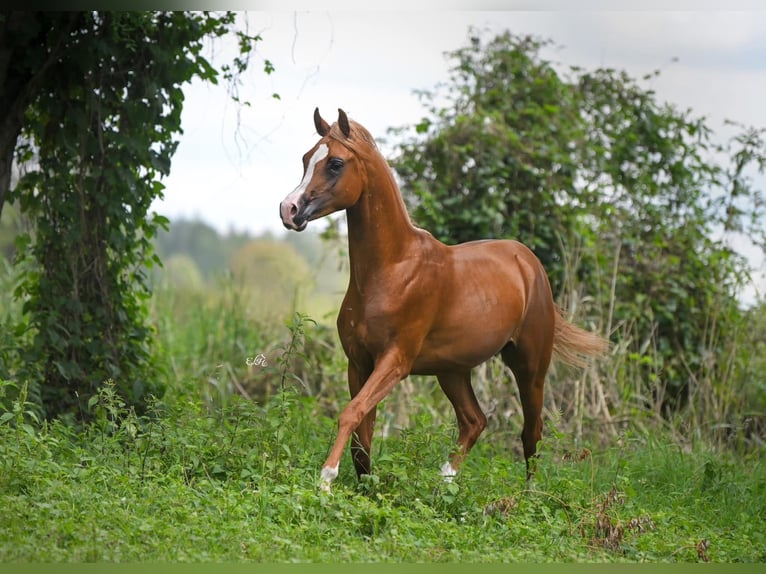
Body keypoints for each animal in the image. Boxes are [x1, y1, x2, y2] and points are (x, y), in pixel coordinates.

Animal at [280, 109, 608, 496]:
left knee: (532, 431)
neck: (391, 270)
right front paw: (365, 486)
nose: (289, 209)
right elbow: (362, 432)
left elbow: (351, 413)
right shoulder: (359, 362)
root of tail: (529, 263)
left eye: (335, 163)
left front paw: (326, 481)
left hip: (529, 365)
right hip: (452, 370)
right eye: (306, 159)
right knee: (474, 420)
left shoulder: (395, 362)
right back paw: (444, 482)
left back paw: (527, 496)